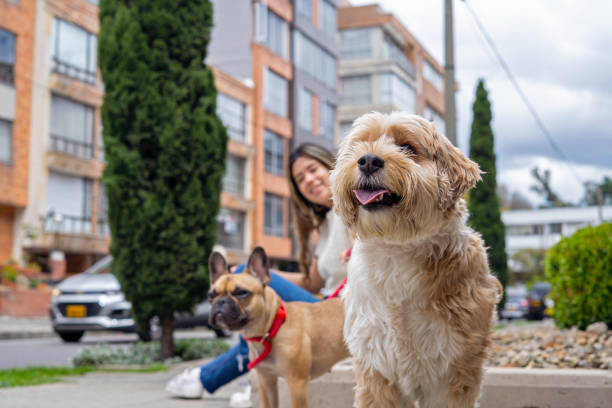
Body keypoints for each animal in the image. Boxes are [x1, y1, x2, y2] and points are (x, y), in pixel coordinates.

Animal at [332, 111, 500, 408]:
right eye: (360, 145)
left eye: (407, 147)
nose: (368, 160)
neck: (397, 251)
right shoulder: (375, 364)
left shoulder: (453, 368)